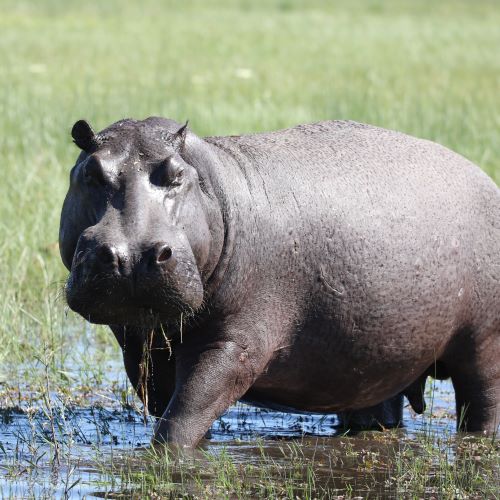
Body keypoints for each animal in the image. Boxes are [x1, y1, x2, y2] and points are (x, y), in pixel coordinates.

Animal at [59, 119, 500, 448]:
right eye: (90, 172)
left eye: (176, 175)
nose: (131, 255)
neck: (215, 185)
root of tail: (485, 178)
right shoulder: (139, 348)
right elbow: (175, 407)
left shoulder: (234, 344)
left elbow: (185, 414)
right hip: (377, 352)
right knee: (378, 408)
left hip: (481, 344)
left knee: (482, 403)